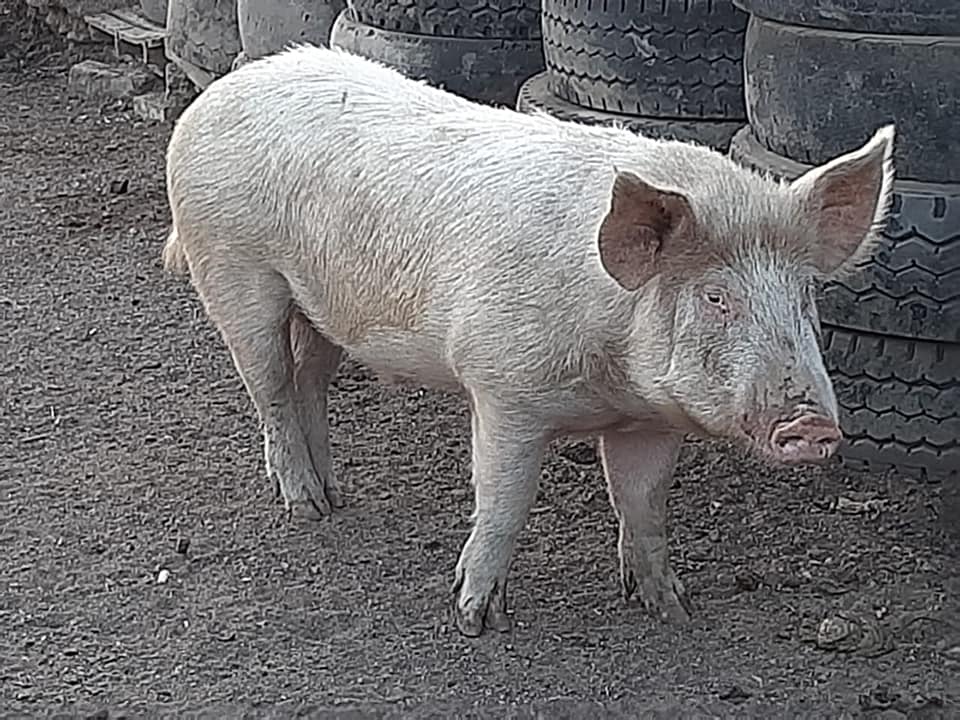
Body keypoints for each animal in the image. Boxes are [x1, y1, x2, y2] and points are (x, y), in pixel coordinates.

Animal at [161, 44, 895, 637]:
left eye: (805, 296)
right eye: (717, 298)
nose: (813, 426)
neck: (610, 380)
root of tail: (214, 95)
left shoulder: (649, 422)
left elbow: (644, 505)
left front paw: (672, 610)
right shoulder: (503, 389)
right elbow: (505, 503)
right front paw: (476, 621)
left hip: (323, 304)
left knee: (310, 380)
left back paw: (335, 496)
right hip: (232, 268)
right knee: (271, 389)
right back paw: (306, 509)